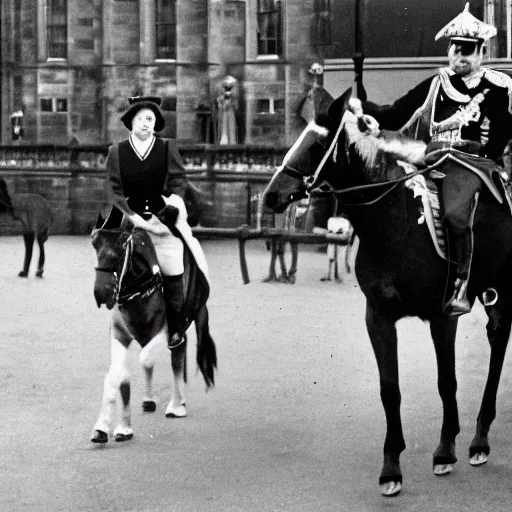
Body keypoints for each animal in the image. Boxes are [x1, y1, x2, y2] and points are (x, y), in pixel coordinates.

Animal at [91, 206, 215, 442]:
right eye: (95, 245)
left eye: (121, 248)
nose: (101, 293)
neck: (138, 289)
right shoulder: (119, 335)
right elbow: (115, 376)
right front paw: (108, 428)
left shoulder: (163, 330)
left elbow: (146, 360)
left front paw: (122, 426)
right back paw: (153, 400)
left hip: (185, 320)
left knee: (177, 353)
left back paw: (176, 405)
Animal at [262, 88, 512, 496]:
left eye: (316, 145)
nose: (272, 196)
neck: (393, 222)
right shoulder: (378, 317)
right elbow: (389, 389)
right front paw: (391, 466)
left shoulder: (442, 315)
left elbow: (447, 380)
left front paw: (445, 450)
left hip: (502, 291)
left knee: (499, 344)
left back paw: (479, 441)